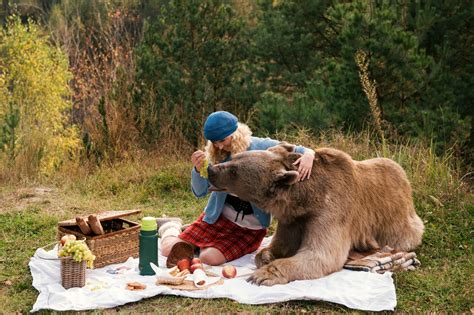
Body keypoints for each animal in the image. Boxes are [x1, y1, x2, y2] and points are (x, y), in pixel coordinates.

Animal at [209, 144, 424, 288]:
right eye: (234, 158)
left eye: (234, 170)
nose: (211, 169)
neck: (305, 199)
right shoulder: (292, 219)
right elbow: (280, 244)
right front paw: (267, 257)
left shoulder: (331, 211)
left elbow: (321, 254)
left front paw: (263, 275)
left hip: (400, 222)